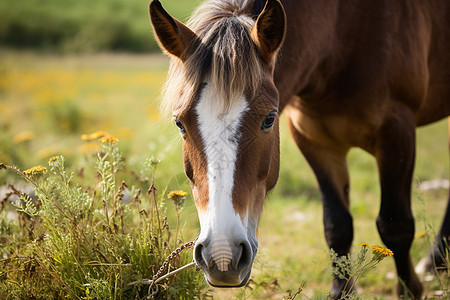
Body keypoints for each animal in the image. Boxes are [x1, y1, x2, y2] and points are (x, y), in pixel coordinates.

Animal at [150, 0, 450, 298]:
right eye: (180, 123)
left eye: (269, 119)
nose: (222, 255)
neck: (340, 38)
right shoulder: (315, 142)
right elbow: (337, 225)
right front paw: (341, 290)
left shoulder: (396, 132)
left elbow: (395, 224)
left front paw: (410, 290)